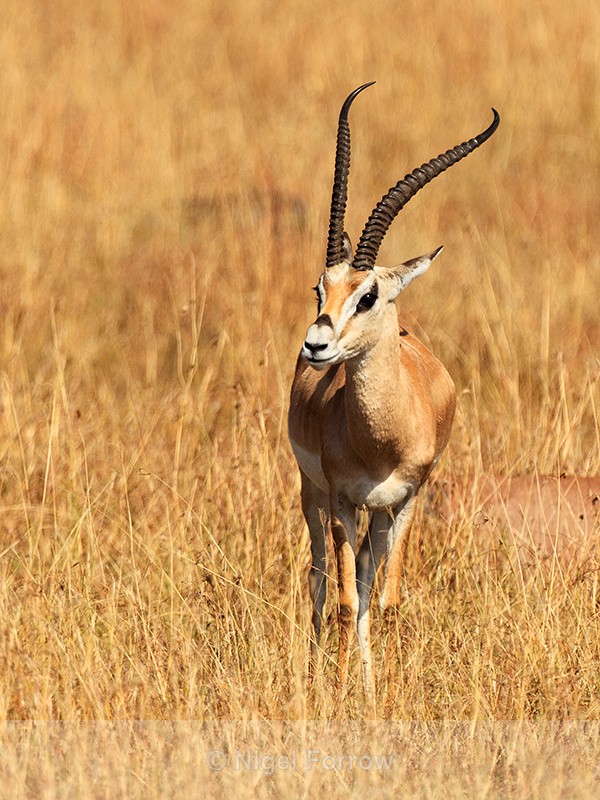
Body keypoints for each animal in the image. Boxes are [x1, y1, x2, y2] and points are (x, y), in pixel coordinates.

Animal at [288, 83, 499, 694]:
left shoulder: (406, 501)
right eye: (320, 288)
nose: (315, 346)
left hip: (378, 516)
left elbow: (385, 601)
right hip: (314, 495)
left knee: (364, 575)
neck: (381, 439)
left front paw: (373, 687)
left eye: (369, 296)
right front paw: (339, 686)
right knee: (320, 577)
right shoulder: (340, 499)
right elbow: (343, 600)